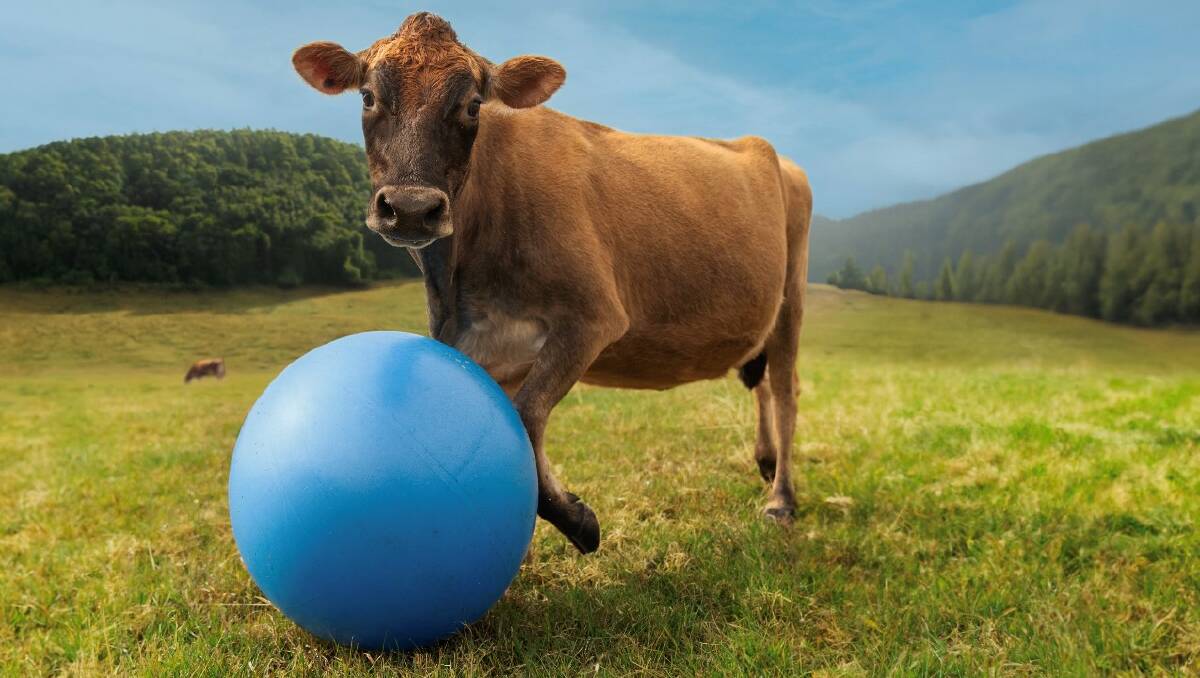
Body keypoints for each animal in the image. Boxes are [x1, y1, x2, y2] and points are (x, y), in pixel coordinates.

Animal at [292, 12, 813, 554]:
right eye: (368, 96)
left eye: (473, 104)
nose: (412, 207)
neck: (459, 284)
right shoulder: (480, 344)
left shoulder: (593, 316)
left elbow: (525, 415)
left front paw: (578, 521)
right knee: (765, 381)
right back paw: (766, 462)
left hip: (791, 298)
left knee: (785, 389)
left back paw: (781, 499)